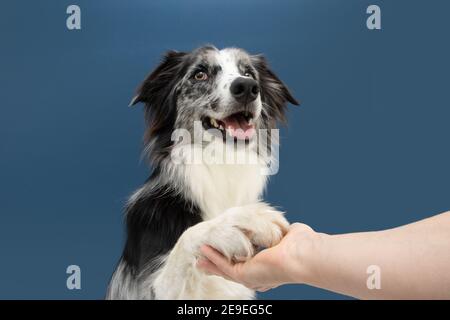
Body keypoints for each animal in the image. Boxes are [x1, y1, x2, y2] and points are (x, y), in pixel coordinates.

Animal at [106, 45, 298, 300]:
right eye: (199, 75)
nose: (247, 87)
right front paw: (241, 222)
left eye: (248, 73)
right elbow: (187, 237)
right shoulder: (148, 289)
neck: (222, 163)